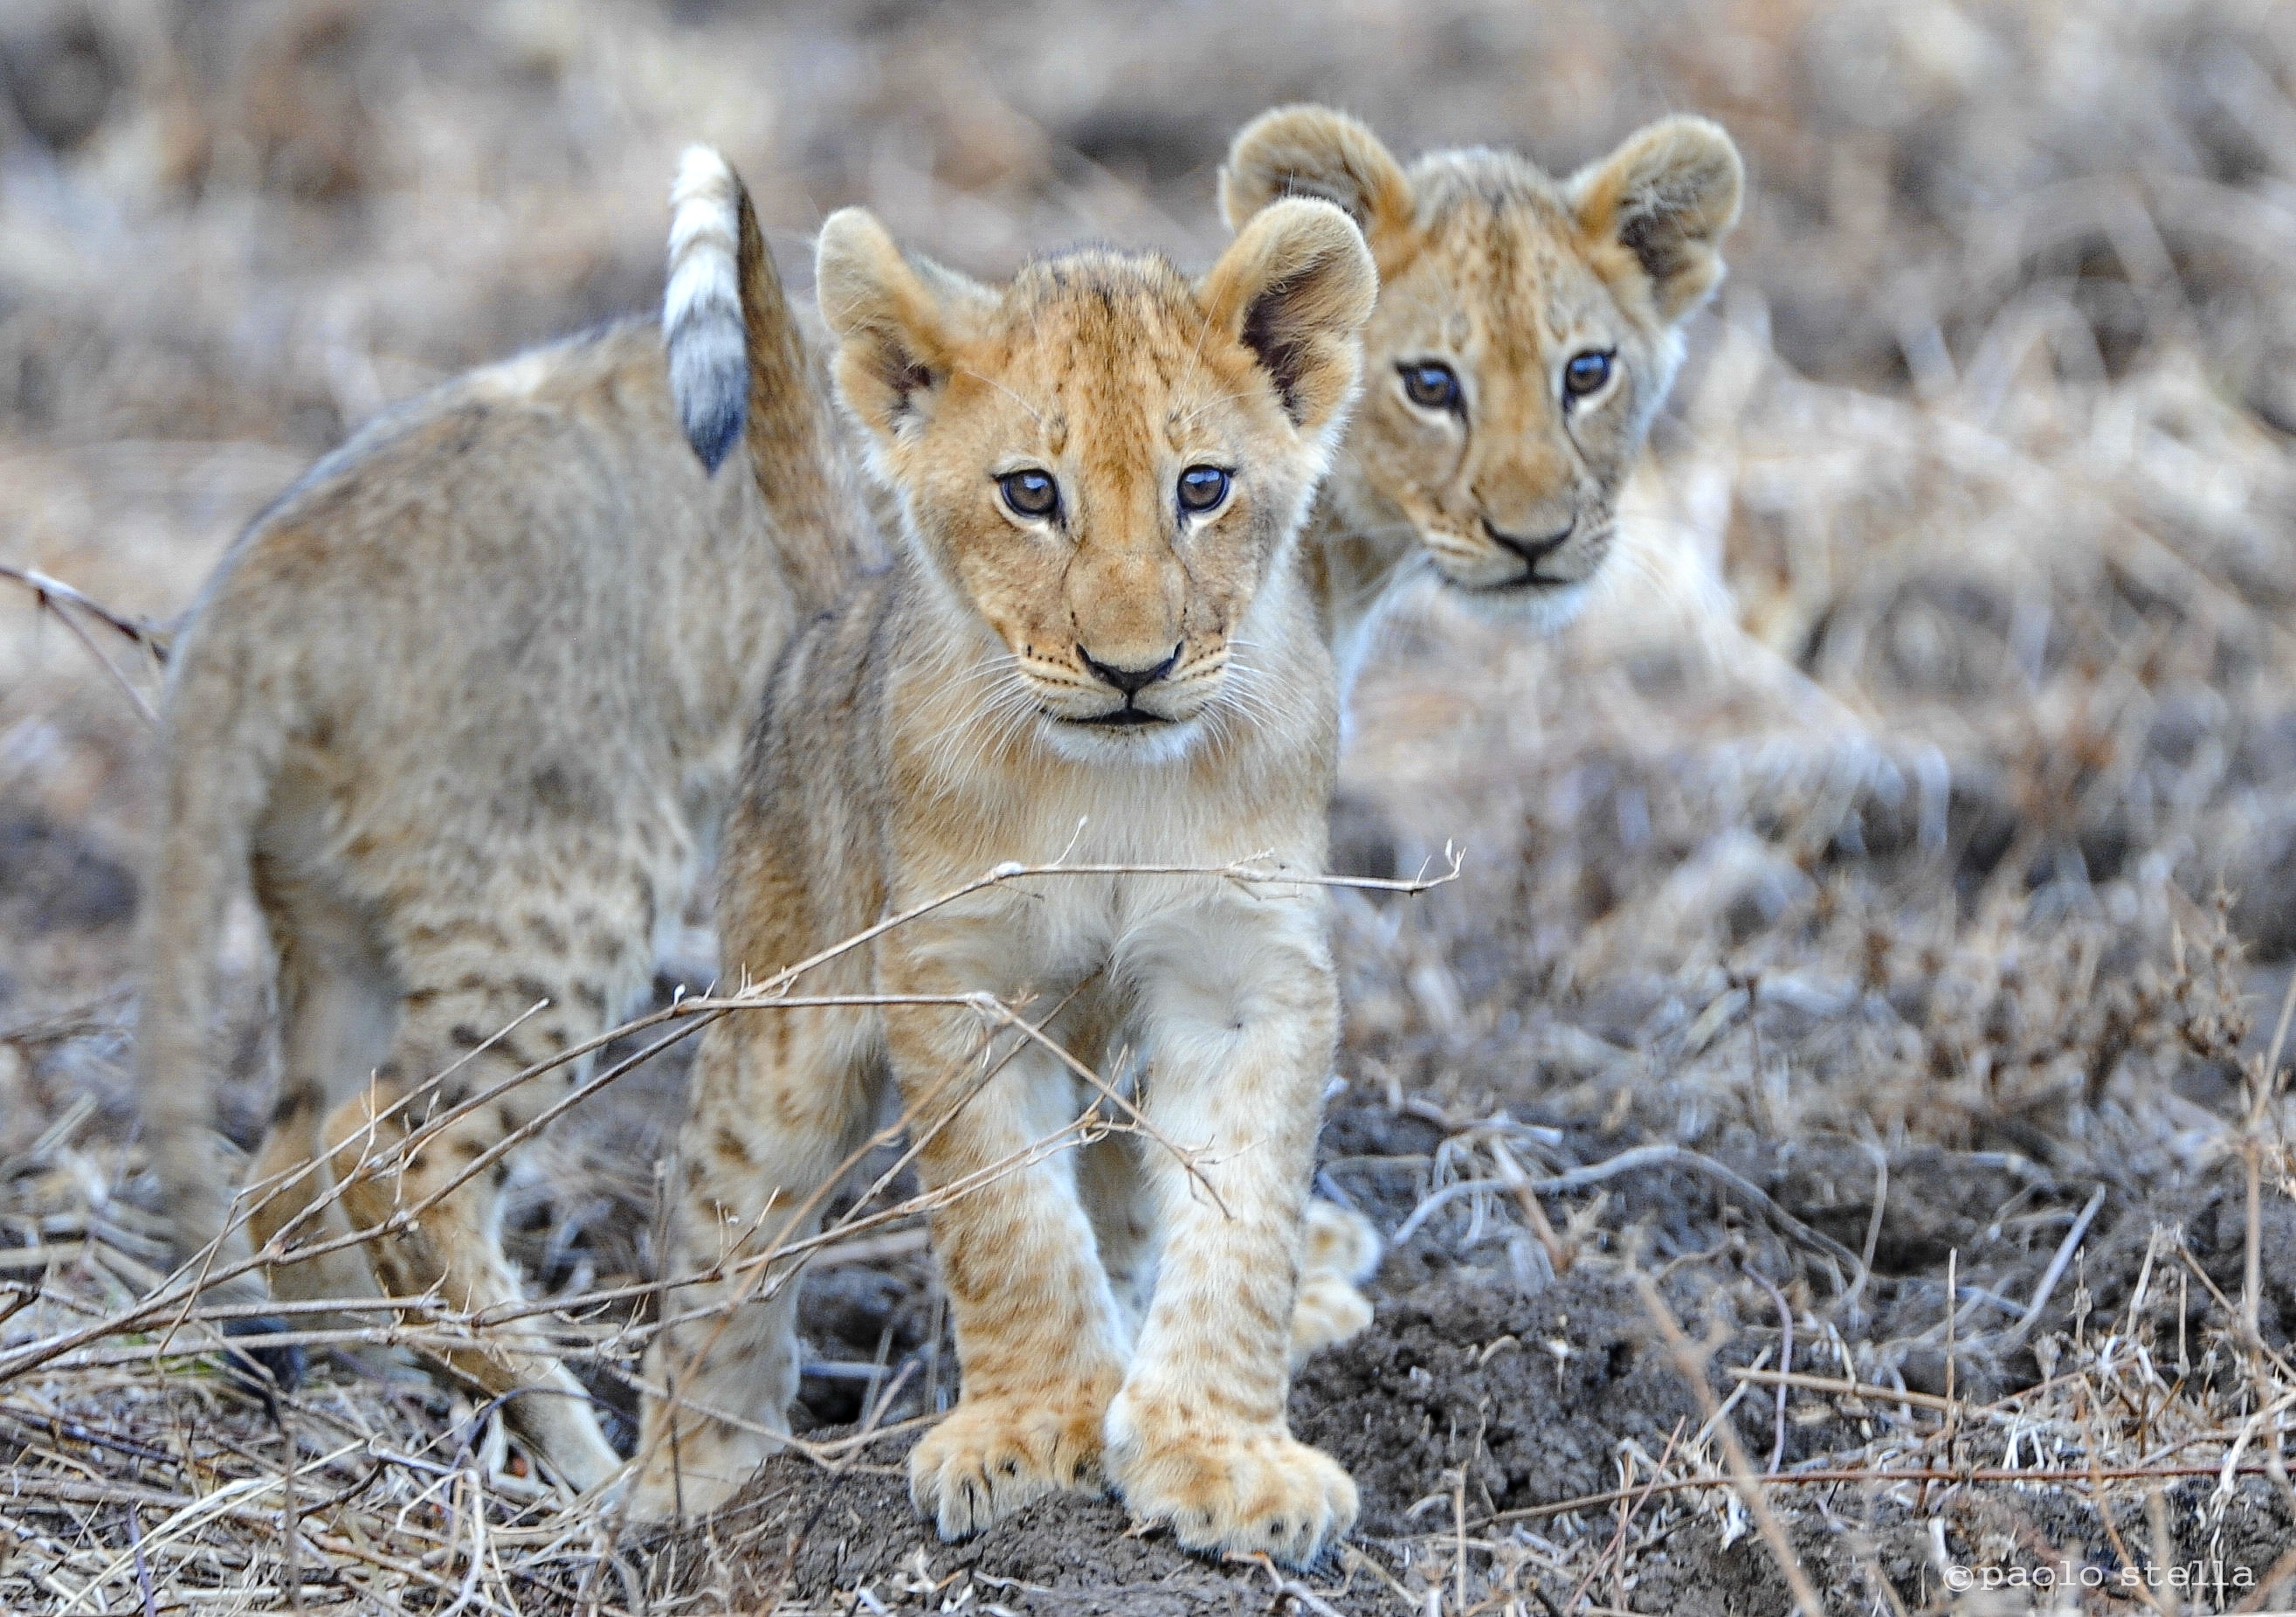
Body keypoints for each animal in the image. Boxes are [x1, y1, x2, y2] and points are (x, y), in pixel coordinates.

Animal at [628, 196, 1380, 1565]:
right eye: (1032, 492)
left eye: (1203, 488)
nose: (1132, 668)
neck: (1115, 789)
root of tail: (844, 599)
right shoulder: (957, 970)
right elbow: (1007, 1222)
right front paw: (1039, 1424)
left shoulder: (1247, 977)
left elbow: (1241, 1217)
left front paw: (1218, 1453)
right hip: (782, 1026)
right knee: (718, 1224)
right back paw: (692, 1488)